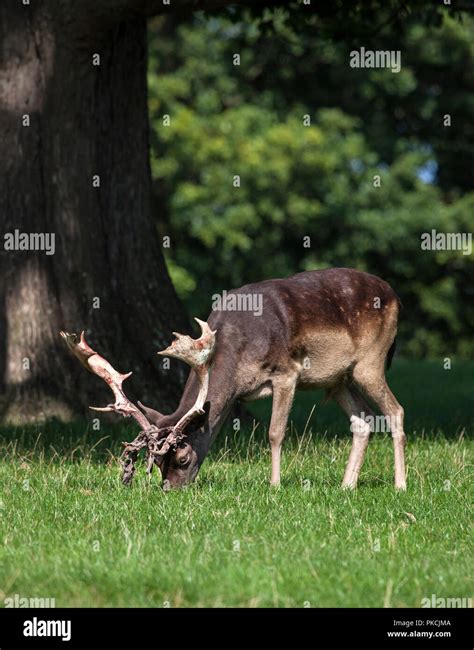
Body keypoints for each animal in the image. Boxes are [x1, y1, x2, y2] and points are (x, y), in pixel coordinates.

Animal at [60, 266, 408, 488]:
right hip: (338, 380)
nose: (169, 489)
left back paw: (400, 485)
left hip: (371, 361)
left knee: (395, 411)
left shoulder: (287, 373)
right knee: (363, 419)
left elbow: (275, 432)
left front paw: (274, 485)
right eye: (156, 462)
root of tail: (395, 295)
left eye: (183, 457)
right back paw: (347, 486)